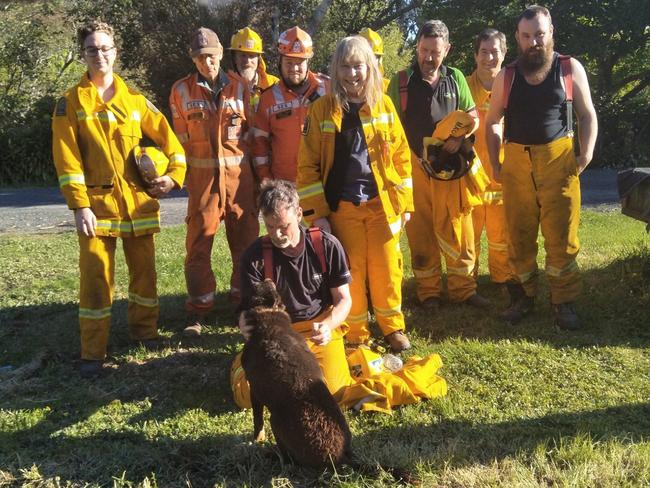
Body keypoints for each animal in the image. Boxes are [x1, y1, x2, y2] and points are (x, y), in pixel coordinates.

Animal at [239, 282, 352, 468]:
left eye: (256, 287)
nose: (264, 280)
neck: (270, 315)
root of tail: (340, 458)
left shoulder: (254, 389)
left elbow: (257, 421)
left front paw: (257, 440)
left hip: (275, 422)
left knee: (288, 461)